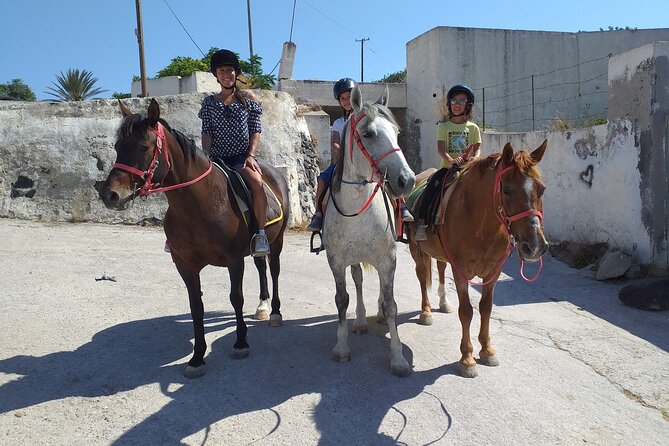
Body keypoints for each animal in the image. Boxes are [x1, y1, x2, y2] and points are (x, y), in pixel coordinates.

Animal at [99, 99, 290, 378]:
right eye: (117, 147)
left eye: (143, 147)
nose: (110, 195)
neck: (200, 204)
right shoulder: (185, 264)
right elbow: (195, 306)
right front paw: (197, 356)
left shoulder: (234, 260)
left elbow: (236, 298)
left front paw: (240, 342)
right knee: (262, 268)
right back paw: (263, 306)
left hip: (277, 241)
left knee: (274, 270)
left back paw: (275, 312)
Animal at [320, 84, 414, 376]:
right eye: (368, 134)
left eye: (396, 132)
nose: (407, 180)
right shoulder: (336, 261)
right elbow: (342, 299)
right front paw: (341, 348)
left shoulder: (388, 259)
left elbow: (392, 305)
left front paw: (398, 358)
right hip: (353, 259)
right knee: (359, 281)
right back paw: (361, 322)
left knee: (381, 290)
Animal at [408, 139, 548, 376]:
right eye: (507, 190)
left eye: (542, 189)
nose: (536, 247)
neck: (479, 223)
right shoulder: (461, 271)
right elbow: (466, 311)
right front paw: (467, 359)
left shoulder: (493, 272)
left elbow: (486, 308)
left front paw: (487, 350)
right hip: (415, 249)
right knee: (421, 276)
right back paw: (426, 312)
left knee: (440, 268)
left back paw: (444, 302)